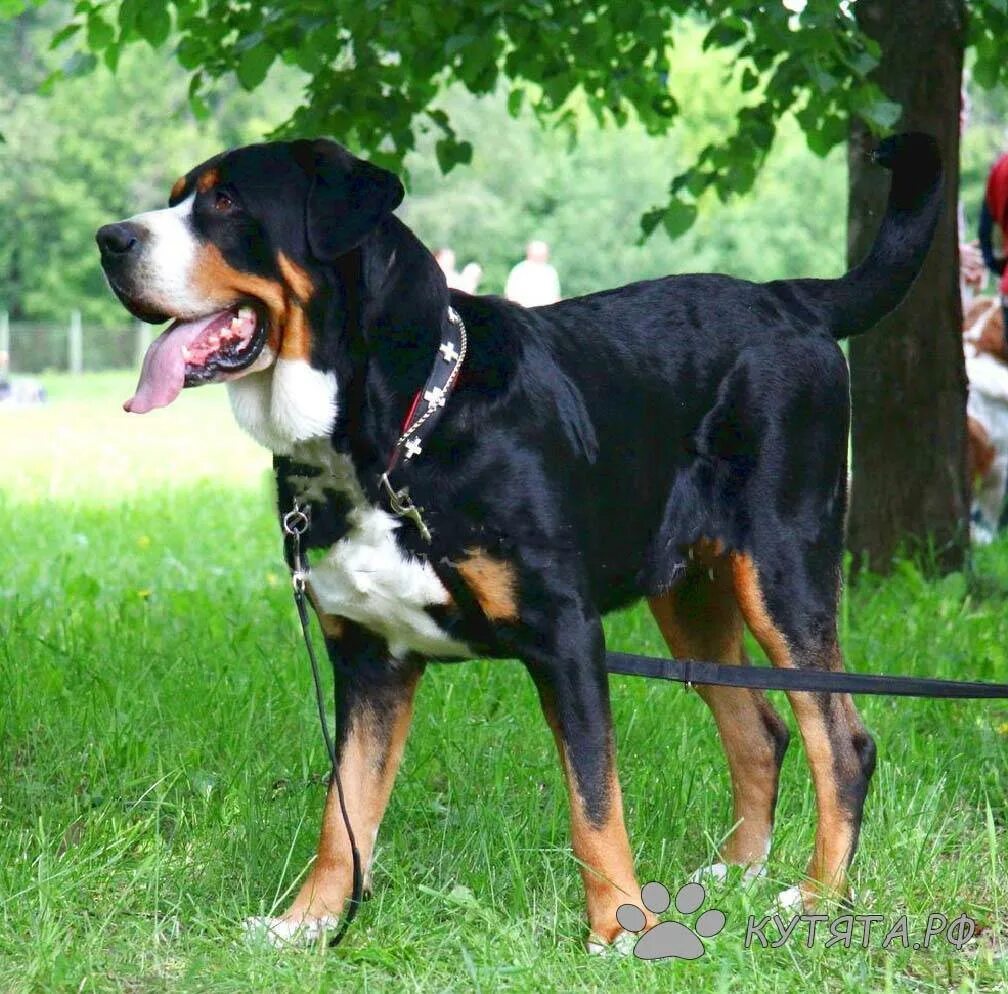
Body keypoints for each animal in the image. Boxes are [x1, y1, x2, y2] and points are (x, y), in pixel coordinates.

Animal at [98, 130, 939, 943]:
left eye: (226, 203)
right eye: (178, 196)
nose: (110, 239)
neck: (394, 438)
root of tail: (786, 297)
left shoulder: (565, 634)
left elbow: (595, 804)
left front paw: (620, 931)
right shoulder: (370, 659)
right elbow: (344, 814)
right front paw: (309, 924)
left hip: (781, 573)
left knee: (842, 745)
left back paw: (817, 899)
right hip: (690, 597)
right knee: (761, 732)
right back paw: (734, 875)